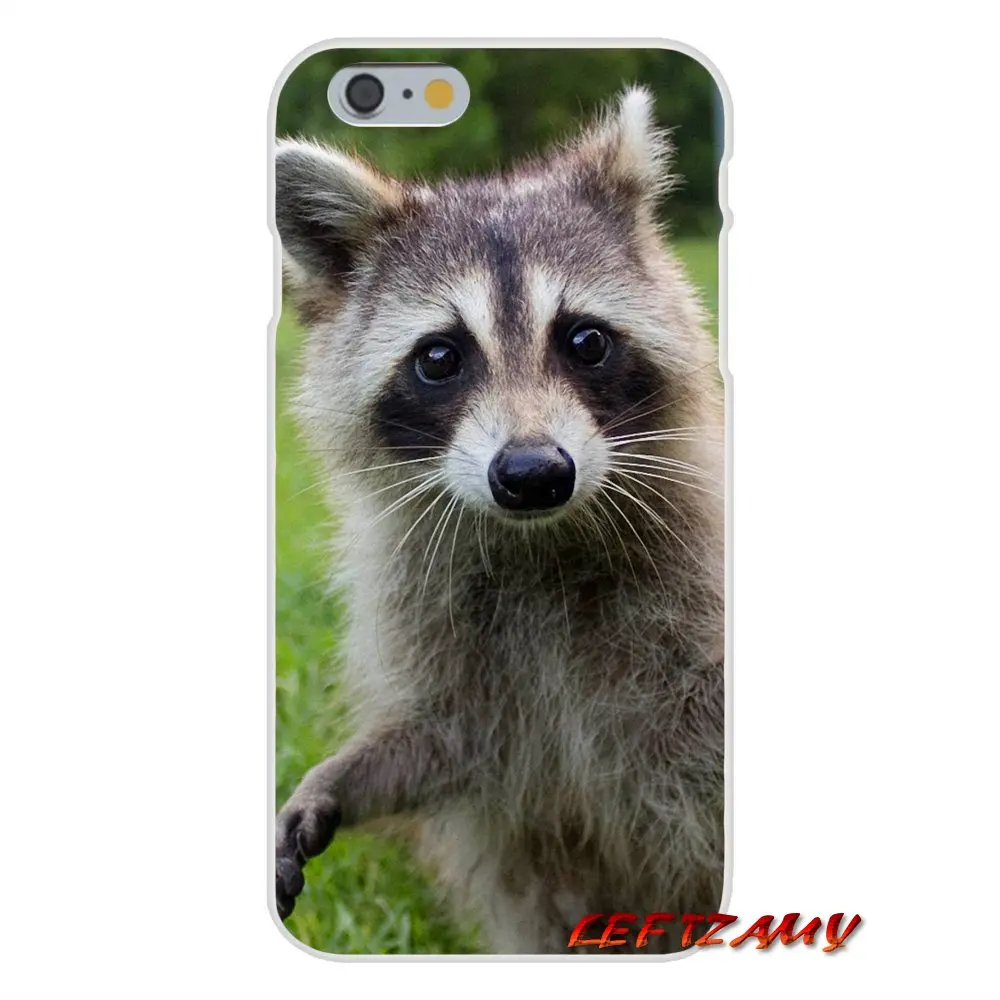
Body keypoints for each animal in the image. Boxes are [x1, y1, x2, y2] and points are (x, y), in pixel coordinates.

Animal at [274, 87, 725, 955]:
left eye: (586, 340)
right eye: (439, 357)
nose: (533, 473)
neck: (539, 542)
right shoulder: (438, 622)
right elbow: (446, 739)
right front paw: (341, 778)